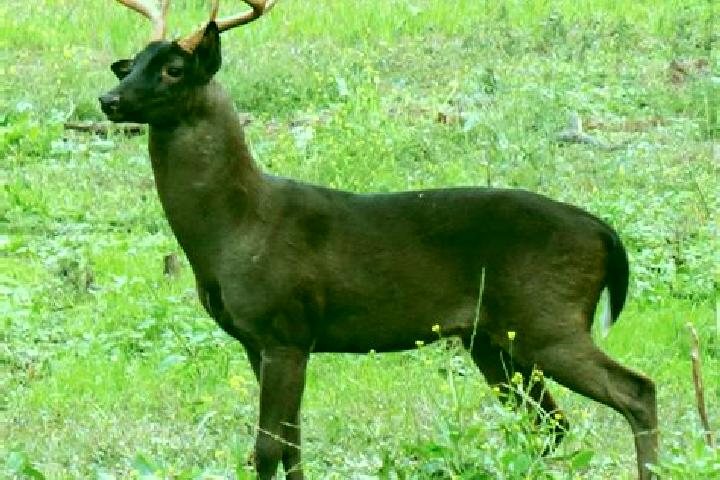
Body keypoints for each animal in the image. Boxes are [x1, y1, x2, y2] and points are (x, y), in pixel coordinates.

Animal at [98, 1, 658, 478]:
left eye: (173, 69)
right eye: (130, 66)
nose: (108, 99)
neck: (234, 230)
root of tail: (605, 234)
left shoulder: (285, 326)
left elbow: (267, 449)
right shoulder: (261, 341)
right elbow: (293, 445)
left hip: (548, 315)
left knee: (636, 390)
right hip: (492, 337)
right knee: (550, 423)